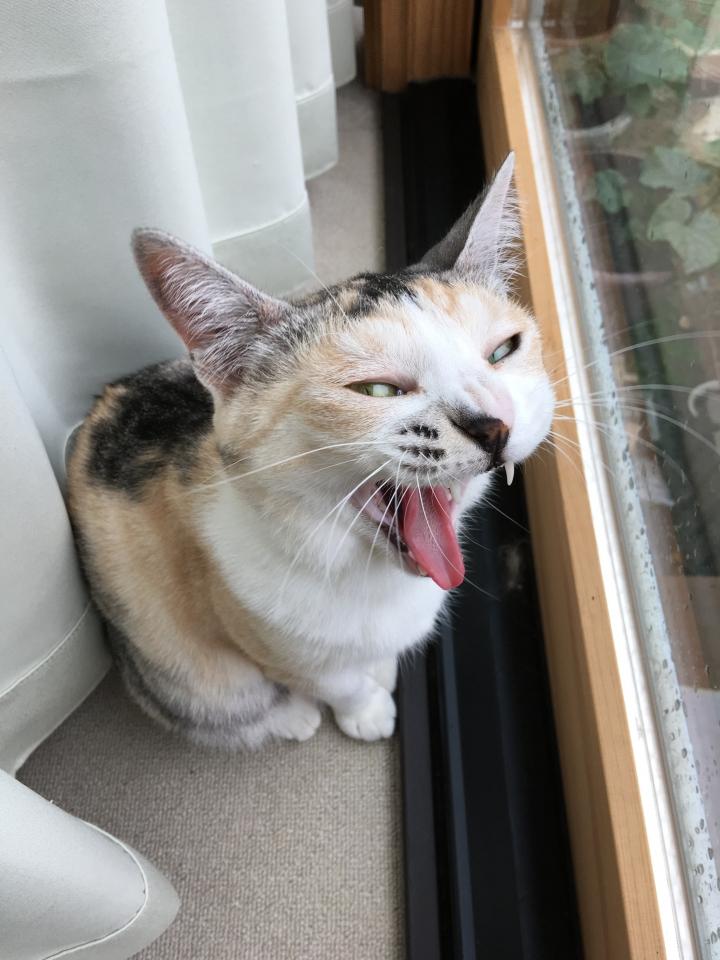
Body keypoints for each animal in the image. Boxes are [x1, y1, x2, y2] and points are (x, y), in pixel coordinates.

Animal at [67, 153, 554, 748]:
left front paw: (380, 671)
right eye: (377, 389)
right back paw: (291, 718)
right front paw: (366, 710)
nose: (494, 425)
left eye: (503, 351)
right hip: (184, 671)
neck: (361, 571)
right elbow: (333, 681)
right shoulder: (262, 634)